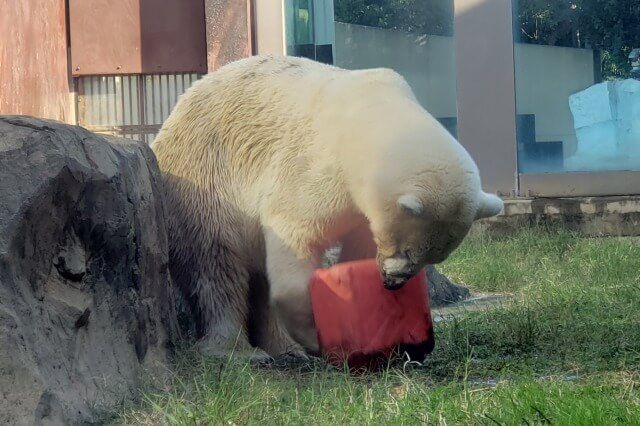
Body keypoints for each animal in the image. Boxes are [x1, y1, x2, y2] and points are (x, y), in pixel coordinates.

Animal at [151, 52, 504, 360]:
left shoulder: (362, 210)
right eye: (406, 249)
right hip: (204, 180)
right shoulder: (315, 165)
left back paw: (284, 348)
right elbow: (294, 233)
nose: (393, 281)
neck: (367, 116)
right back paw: (239, 352)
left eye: (435, 257)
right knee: (216, 265)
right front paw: (318, 334)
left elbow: (358, 246)